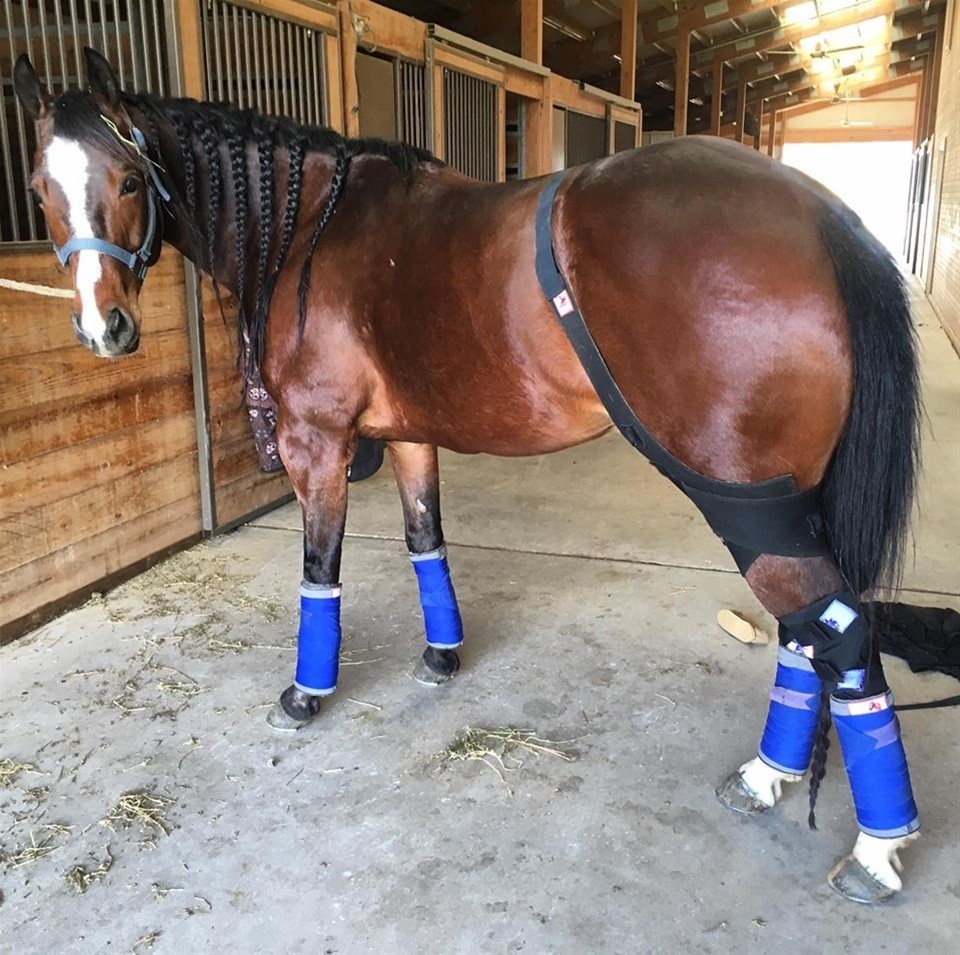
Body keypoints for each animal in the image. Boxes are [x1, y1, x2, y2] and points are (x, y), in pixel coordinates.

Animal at [13, 49, 924, 904]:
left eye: (131, 178)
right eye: (37, 188)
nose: (103, 327)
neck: (309, 226)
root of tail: (815, 212)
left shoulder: (318, 443)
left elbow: (319, 571)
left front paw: (306, 693)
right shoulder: (412, 439)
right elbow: (426, 541)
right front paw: (441, 655)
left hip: (749, 502)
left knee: (838, 634)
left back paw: (873, 849)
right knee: (807, 634)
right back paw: (770, 776)